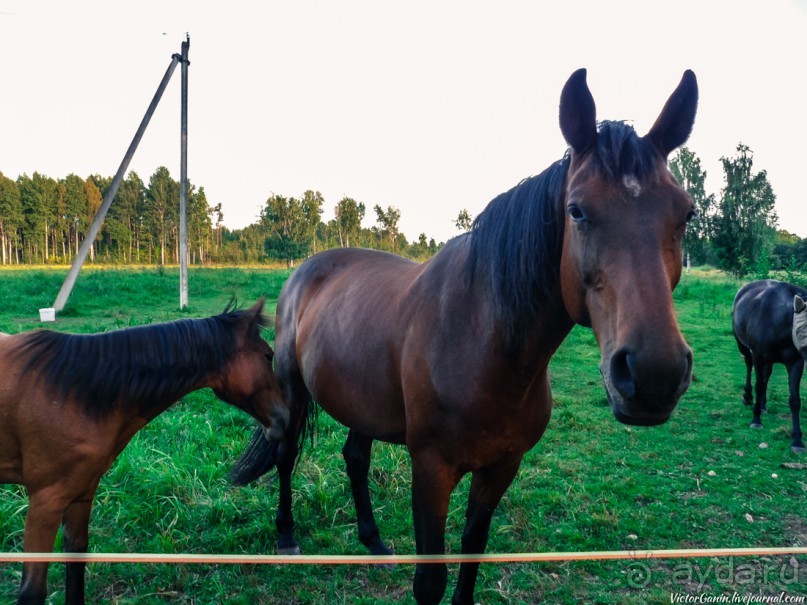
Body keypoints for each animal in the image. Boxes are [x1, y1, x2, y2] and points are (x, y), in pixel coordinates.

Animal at [0, 300, 290, 604]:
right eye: (268, 355)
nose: (284, 417)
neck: (72, 393)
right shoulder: (45, 502)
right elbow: (32, 592)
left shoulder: (81, 494)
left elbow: (76, 569)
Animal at [230, 68, 696, 600]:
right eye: (577, 211)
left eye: (687, 213)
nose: (655, 375)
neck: (486, 347)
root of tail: (305, 269)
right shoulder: (432, 470)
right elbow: (431, 580)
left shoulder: (501, 468)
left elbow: (473, 550)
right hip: (292, 389)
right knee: (286, 454)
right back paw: (286, 535)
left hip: (359, 398)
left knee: (355, 458)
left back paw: (374, 541)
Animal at [732, 278, 807, 448]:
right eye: (803, 331)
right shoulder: (758, 356)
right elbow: (759, 386)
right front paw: (756, 420)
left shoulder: (796, 362)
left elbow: (795, 400)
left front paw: (797, 440)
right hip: (742, 345)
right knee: (749, 364)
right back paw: (748, 396)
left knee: (766, 377)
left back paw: (763, 405)